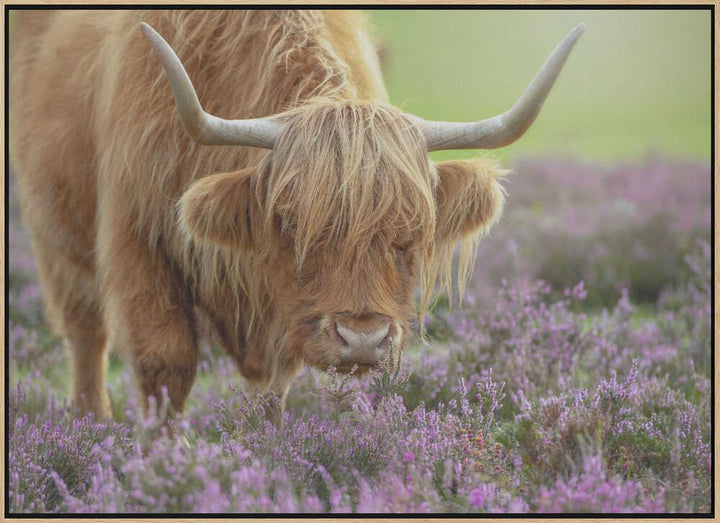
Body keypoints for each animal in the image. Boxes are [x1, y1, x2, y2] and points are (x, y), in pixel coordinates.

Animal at [10, 10, 583, 424]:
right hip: (54, 237)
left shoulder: (278, 309)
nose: (362, 339)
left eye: (410, 234)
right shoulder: (138, 241)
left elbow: (271, 388)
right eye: (290, 224)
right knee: (86, 336)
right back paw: (92, 425)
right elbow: (165, 367)